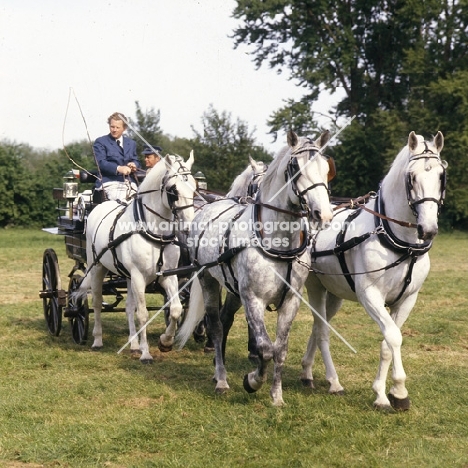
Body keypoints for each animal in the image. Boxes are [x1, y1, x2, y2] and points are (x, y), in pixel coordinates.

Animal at [75, 154, 196, 362]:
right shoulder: (139, 276)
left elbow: (175, 309)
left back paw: (133, 345)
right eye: (174, 190)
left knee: (129, 307)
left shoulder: (168, 276)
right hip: (97, 268)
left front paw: (165, 342)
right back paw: (97, 340)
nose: (190, 225)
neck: (155, 233)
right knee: (97, 302)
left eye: (195, 188)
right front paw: (146, 353)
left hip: (127, 276)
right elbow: (143, 315)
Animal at [177, 130, 334, 404]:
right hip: (208, 279)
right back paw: (221, 378)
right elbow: (265, 348)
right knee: (216, 326)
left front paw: (276, 396)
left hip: (233, 289)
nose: (322, 214)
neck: (277, 242)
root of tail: (207, 206)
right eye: (295, 168)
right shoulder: (253, 298)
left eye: (326, 168)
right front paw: (252, 380)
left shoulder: (290, 301)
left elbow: (280, 349)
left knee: (225, 320)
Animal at [302, 132, 448, 410]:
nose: (428, 230)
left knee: (316, 327)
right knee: (322, 330)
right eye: (411, 177)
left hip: (334, 294)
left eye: (441, 176)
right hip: (314, 287)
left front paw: (389, 392)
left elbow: (388, 342)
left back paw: (306, 373)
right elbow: (393, 337)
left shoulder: (407, 299)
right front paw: (394, 392)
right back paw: (333, 382)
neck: (400, 240)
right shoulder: (370, 296)